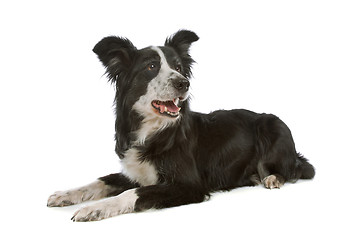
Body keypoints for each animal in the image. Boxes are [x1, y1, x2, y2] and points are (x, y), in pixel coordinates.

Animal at [47, 29, 316, 221]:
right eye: (151, 67)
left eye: (178, 67)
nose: (184, 83)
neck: (154, 129)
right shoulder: (136, 172)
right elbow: (101, 180)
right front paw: (66, 195)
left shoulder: (188, 185)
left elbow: (132, 193)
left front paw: (94, 208)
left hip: (273, 124)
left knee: (298, 168)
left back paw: (273, 178)